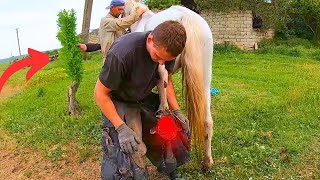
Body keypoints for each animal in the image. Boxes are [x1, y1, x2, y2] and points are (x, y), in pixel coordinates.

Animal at [124, 0, 214, 170]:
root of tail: (185, 17)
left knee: (162, 78)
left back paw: (163, 110)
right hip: (205, 75)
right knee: (207, 120)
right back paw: (207, 162)